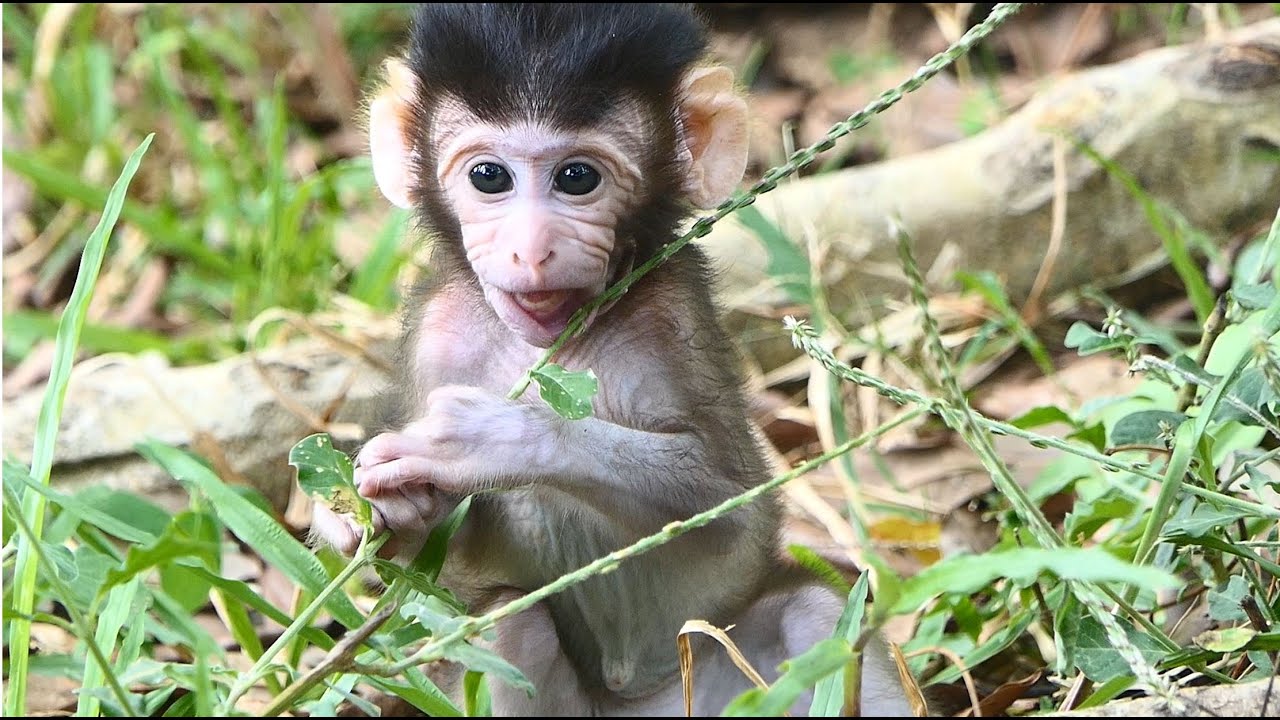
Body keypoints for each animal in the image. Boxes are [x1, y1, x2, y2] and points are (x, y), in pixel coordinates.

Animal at [310, 4, 914, 716]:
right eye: (489, 176)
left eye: (578, 178)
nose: (531, 250)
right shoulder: (437, 332)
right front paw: (365, 515)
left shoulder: (674, 318)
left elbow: (731, 511)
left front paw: (493, 438)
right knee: (511, 627)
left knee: (817, 611)